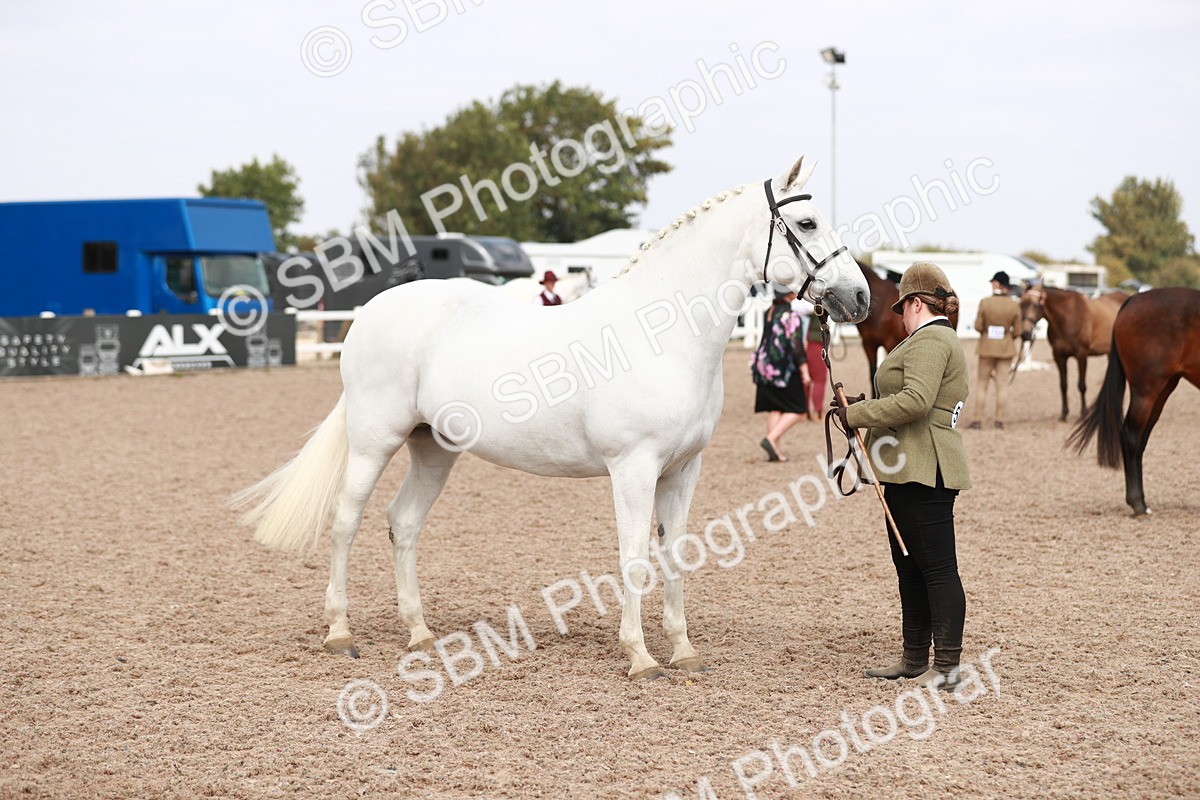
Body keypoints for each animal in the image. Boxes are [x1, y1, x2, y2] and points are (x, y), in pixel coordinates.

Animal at [233, 157, 871, 680]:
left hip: (432, 448)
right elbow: (633, 557)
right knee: (346, 521)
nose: (860, 298)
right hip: (374, 439)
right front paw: (640, 658)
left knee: (403, 523)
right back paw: (340, 633)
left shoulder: (683, 470)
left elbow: (674, 556)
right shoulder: (633, 469)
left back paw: (419, 633)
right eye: (807, 224)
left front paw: (683, 650)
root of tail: (369, 311)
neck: (660, 333)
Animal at [1019, 285, 1126, 420]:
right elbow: (1063, 385)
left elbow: (1082, 385)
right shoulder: (1059, 357)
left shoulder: (1081, 356)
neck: (1067, 317)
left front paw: (1084, 412)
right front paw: (1064, 414)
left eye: (1036, 305)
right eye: (1021, 304)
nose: (1025, 334)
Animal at [1067, 287, 1200, 516]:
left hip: (1161, 391)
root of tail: (1134, 299)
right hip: (1146, 392)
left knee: (1140, 440)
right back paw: (1138, 504)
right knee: (1130, 436)